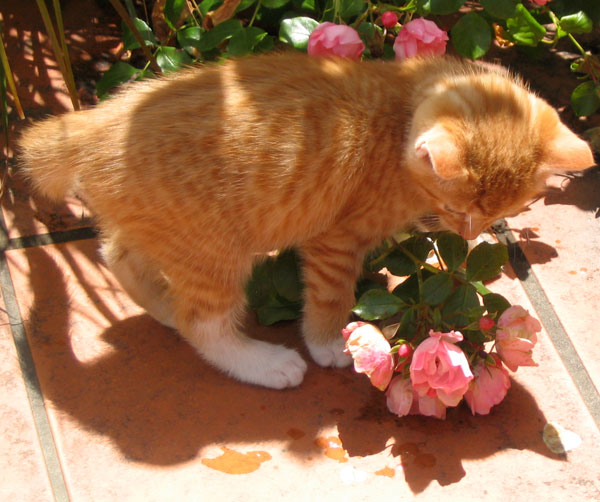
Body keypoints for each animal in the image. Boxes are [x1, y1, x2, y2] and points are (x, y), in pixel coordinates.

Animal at [17, 53, 592, 388]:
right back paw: (261, 362)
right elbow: (331, 295)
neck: (401, 99)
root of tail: (94, 124)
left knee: (117, 254)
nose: (467, 234)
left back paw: (160, 306)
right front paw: (327, 343)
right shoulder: (336, 239)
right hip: (214, 248)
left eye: (497, 215)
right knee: (201, 321)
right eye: (458, 210)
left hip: (168, 228)